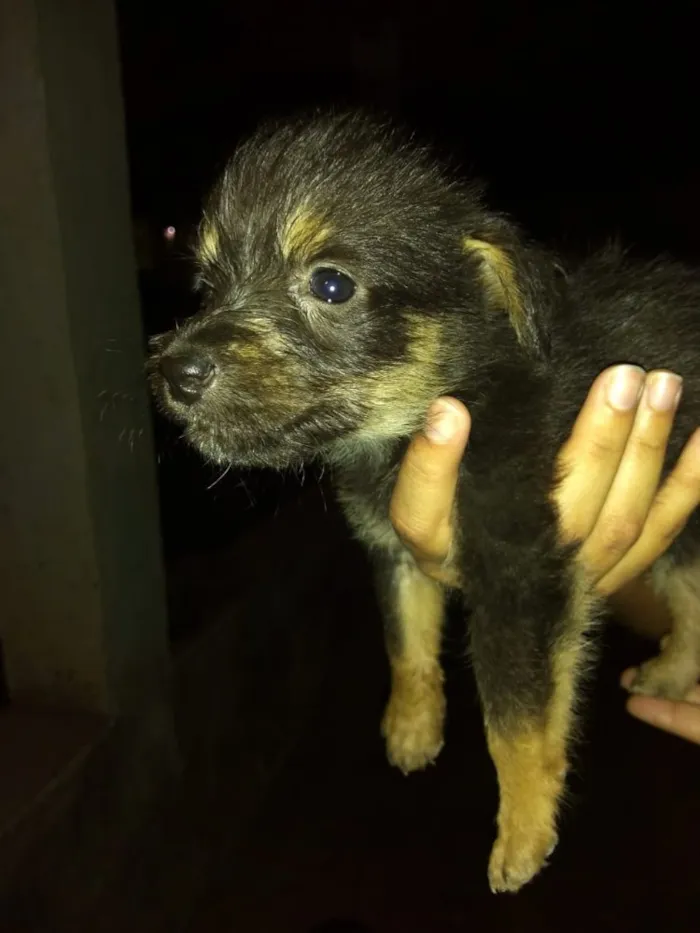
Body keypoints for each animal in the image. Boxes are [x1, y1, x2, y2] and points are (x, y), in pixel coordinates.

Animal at [149, 113, 700, 892]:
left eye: (331, 283)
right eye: (207, 283)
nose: (176, 371)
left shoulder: (518, 576)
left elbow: (516, 720)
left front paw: (523, 836)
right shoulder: (394, 548)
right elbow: (405, 640)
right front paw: (412, 729)